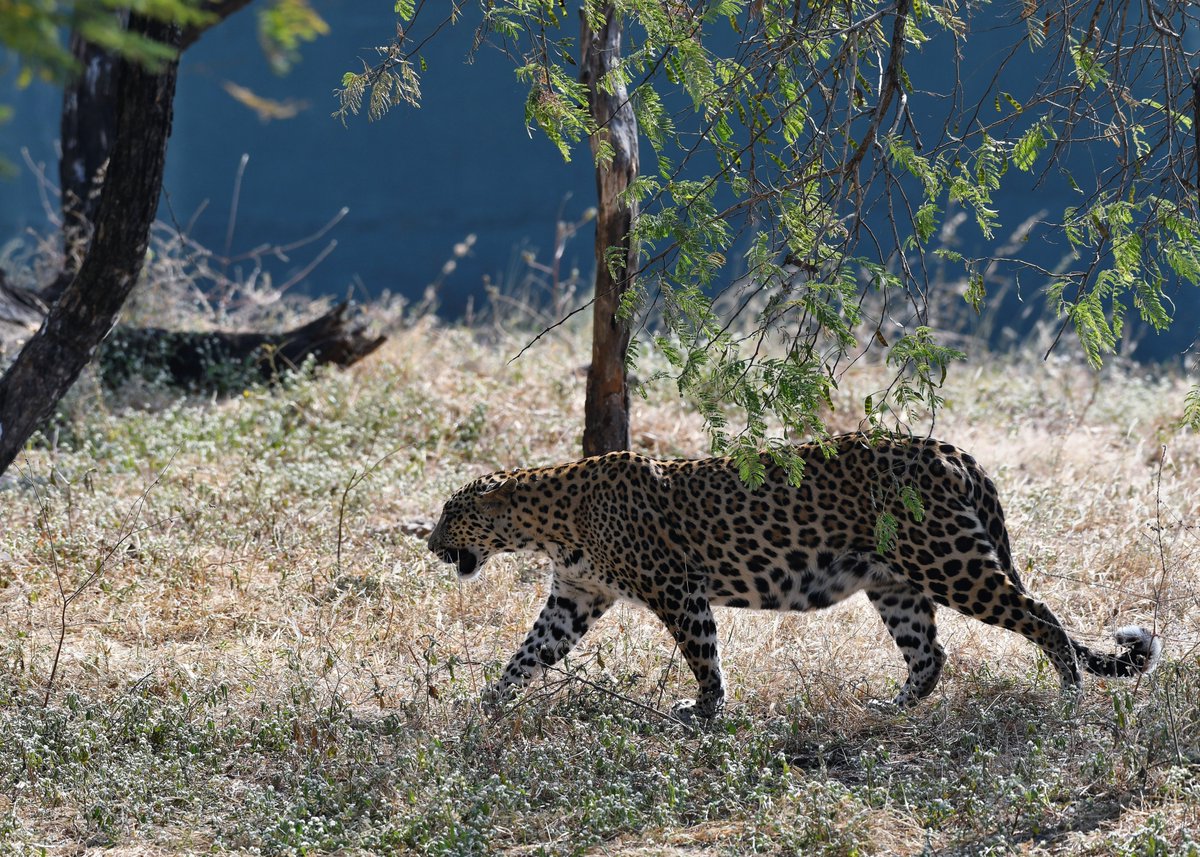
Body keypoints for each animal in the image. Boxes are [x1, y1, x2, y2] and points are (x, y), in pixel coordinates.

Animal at [427, 429, 1156, 715]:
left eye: (450, 513)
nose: (431, 545)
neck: (549, 517)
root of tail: (949, 450)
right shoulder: (576, 595)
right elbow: (528, 653)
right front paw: (486, 705)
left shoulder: (676, 587)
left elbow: (703, 653)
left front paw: (705, 711)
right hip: (896, 582)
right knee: (930, 653)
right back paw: (892, 709)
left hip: (950, 563)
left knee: (1042, 615)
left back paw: (1069, 693)